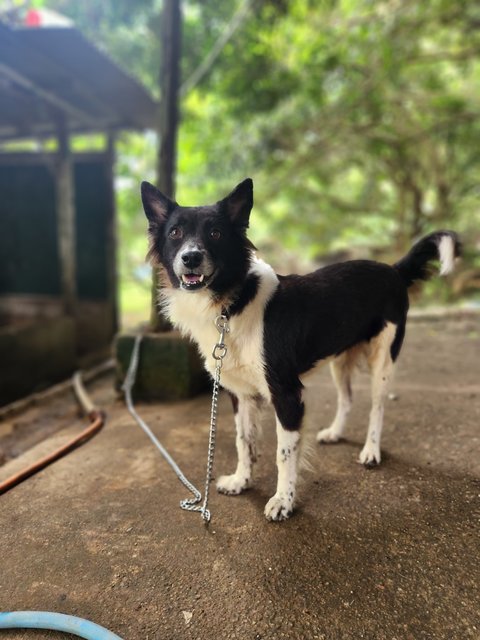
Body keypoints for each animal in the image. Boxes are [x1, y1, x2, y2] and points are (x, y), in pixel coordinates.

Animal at [142, 176, 462, 520]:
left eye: (215, 233)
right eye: (175, 232)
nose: (190, 257)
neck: (234, 303)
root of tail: (393, 269)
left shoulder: (287, 394)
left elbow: (284, 454)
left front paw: (283, 501)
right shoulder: (241, 394)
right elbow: (244, 441)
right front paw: (242, 481)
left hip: (383, 358)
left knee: (377, 407)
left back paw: (371, 450)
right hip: (340, 360)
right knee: (347, 398)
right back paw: (335, 432)